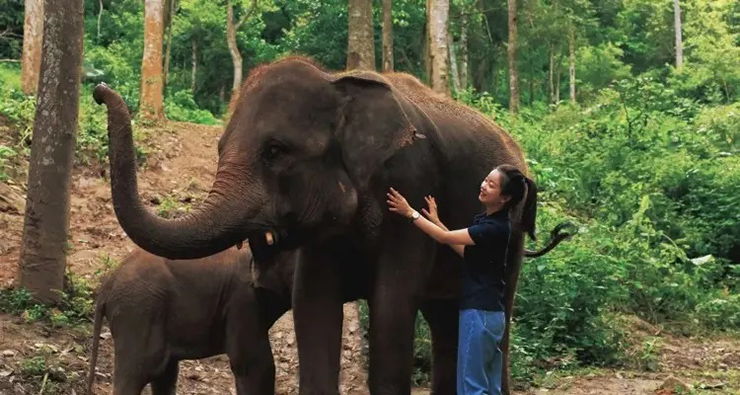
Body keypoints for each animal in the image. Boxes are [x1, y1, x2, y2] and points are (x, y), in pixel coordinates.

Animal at [86, 246, 294, 394]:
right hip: (138, 312)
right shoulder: (242, 302)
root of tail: (106, 287)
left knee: (164, 374)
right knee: (140, 373)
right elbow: (254, 365)